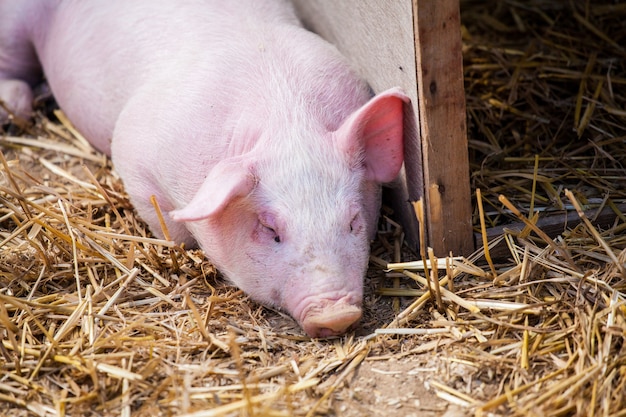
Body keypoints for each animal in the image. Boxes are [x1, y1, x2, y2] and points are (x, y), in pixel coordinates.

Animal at [0, 0, 408, 336]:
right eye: (270, 230)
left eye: (353, 221)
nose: (336, 314)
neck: (288, 121)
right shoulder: (133, 154)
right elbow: (171, 230)